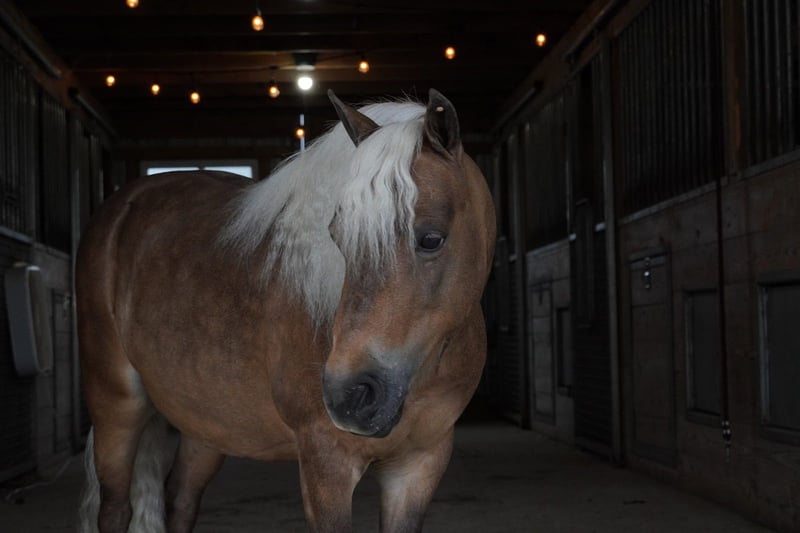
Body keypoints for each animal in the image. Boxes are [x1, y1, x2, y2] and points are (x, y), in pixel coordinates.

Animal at [76, 89, 496, 533]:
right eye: (337, 238)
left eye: (432, 239)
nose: (348, 395)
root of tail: (123, 206)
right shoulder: (325, 465)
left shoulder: (418, 466)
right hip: (116, 406)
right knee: (115, 508)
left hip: (207, 424)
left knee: (181, 499)